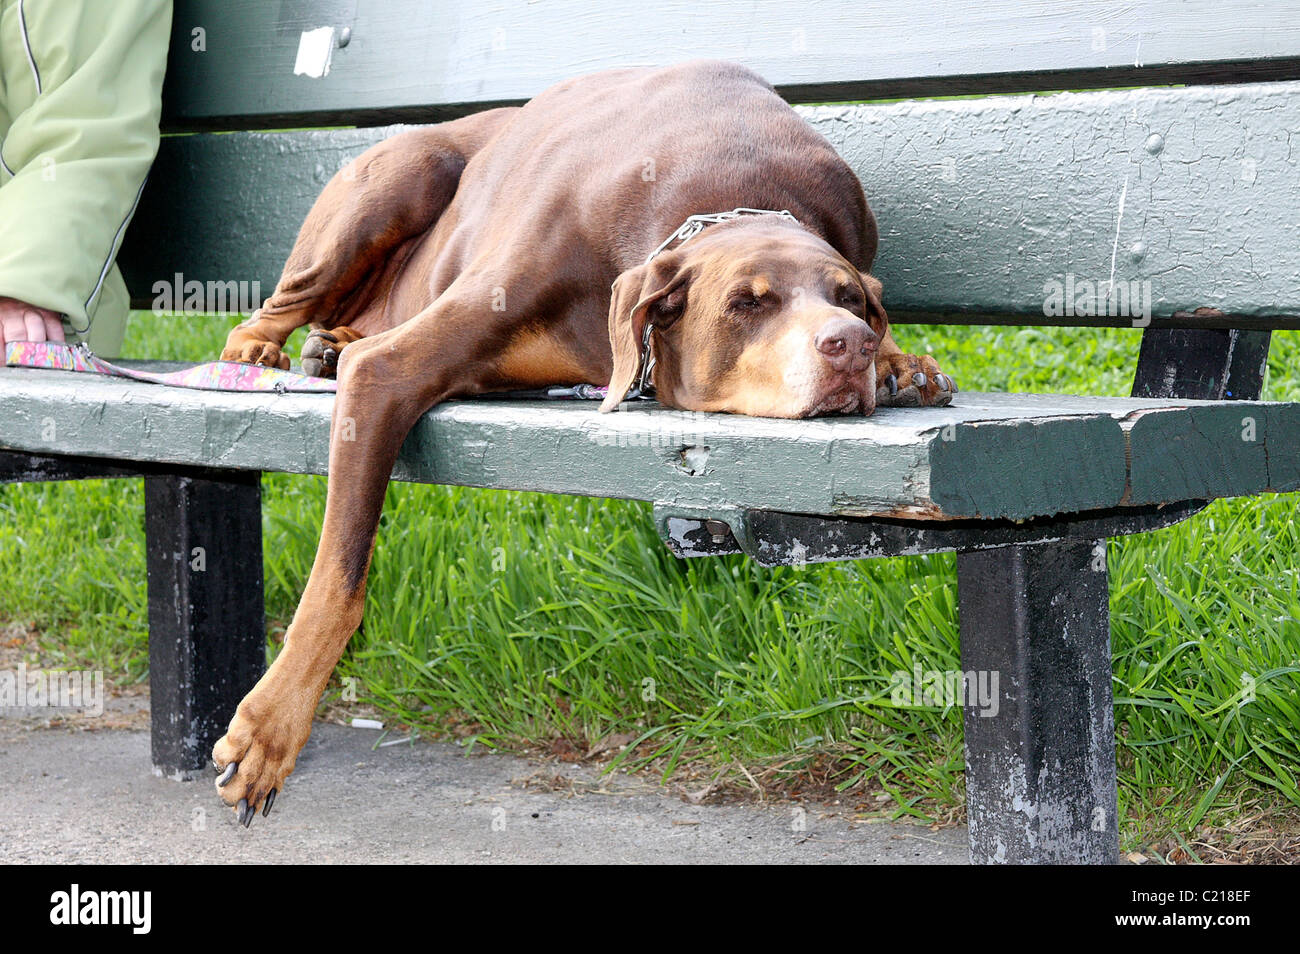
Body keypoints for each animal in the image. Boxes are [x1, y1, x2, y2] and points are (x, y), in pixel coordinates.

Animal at [213, 59, 956, 826]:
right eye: (746, 303)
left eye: (850, 299)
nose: (851, 345)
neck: (736, 192)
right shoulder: (394, 369)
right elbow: (341, 577)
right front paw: (270, 729)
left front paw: (901, 362)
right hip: (397, 179)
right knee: (277, 306)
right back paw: (267, 348)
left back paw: (326, 348)